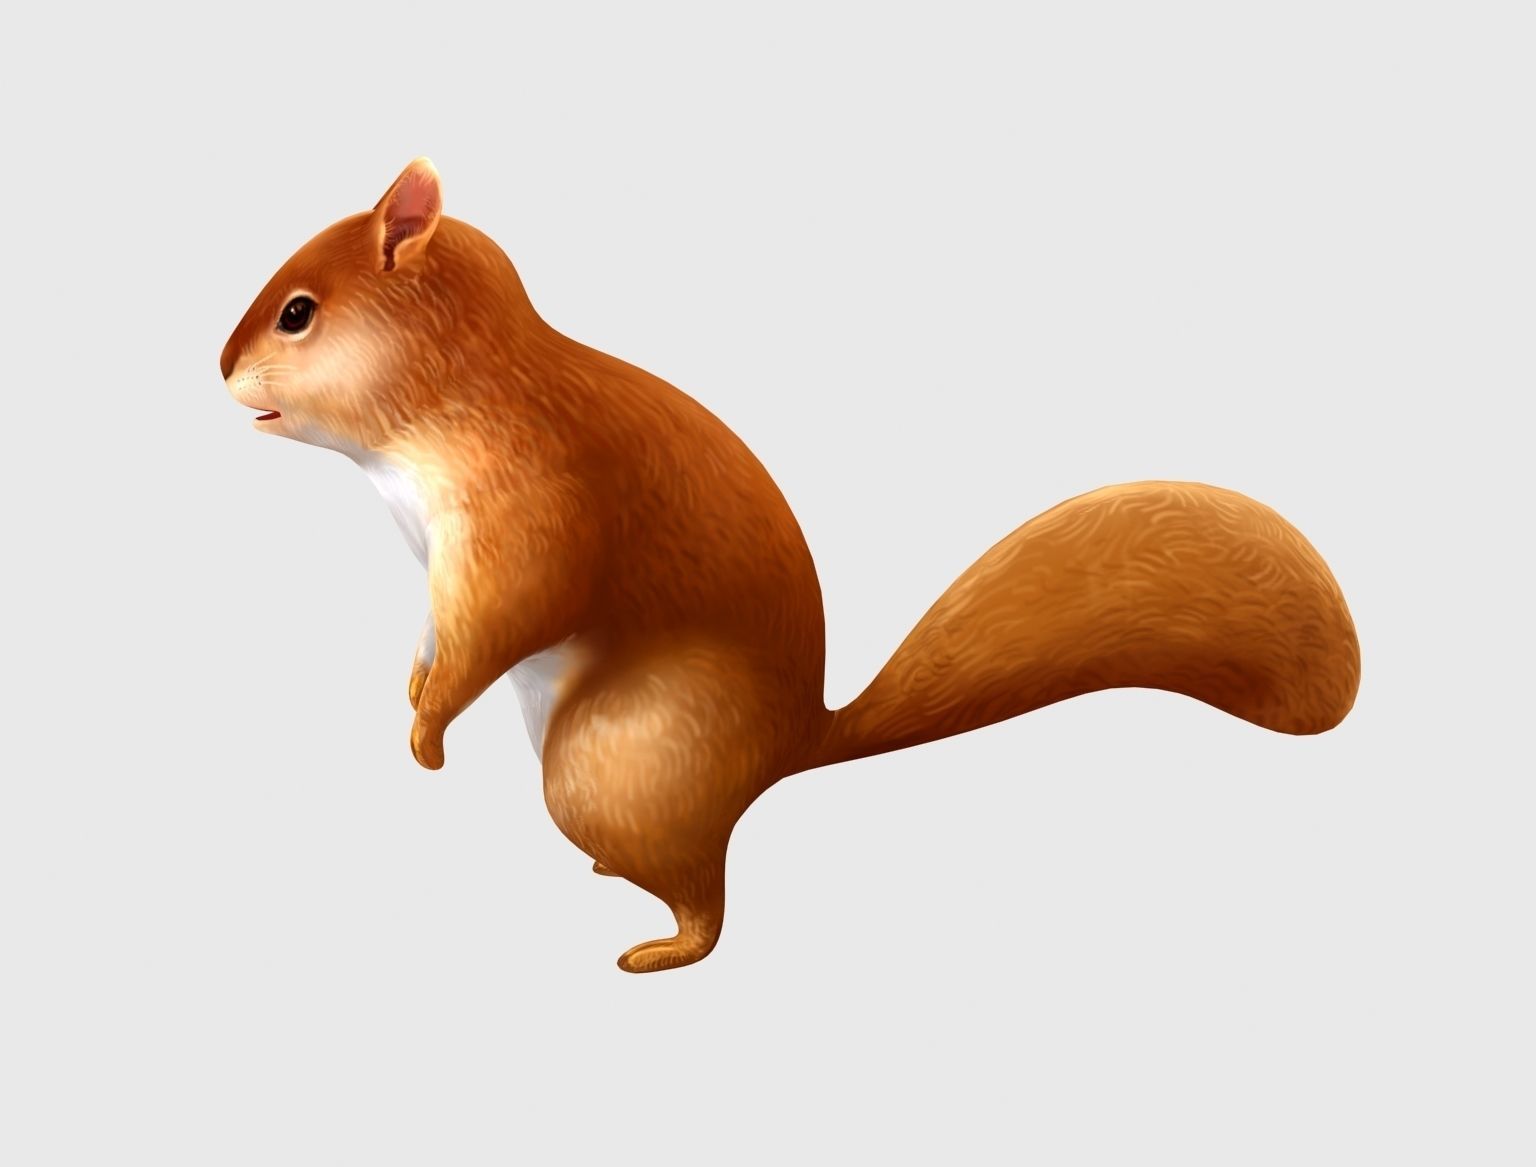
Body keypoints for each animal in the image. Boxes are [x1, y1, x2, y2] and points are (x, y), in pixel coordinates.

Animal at [220, 158, 1360, 973]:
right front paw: (411, 690)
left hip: (611, 761)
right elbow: (435, 636)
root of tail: (792, 744)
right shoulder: (439, 564)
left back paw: (659, 947)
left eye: (297, 311)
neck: (457, 395)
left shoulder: (529, 513)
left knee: (708, 905)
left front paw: (426, 734)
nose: (220, 370)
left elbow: (501, 622)